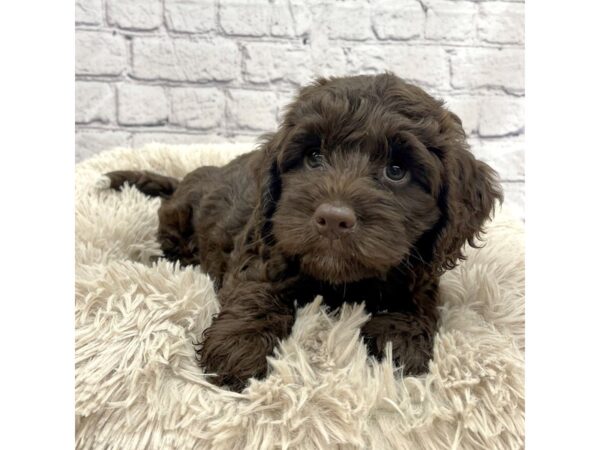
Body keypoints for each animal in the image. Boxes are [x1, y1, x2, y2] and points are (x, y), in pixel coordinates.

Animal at [106, 73, 502, 390]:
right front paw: (237, 347)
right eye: (314, 157)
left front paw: (399, 342)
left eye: (396, 171)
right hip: (178, 220)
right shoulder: (264, 248)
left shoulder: (422, 265)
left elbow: (418, 301)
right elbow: (256, 294)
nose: (333, 218)